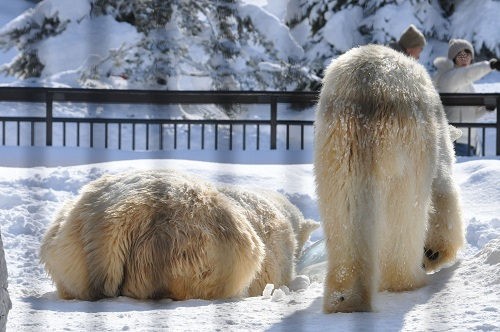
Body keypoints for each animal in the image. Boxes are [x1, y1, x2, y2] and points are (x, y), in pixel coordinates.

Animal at [316, 44, 464, 314]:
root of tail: (367, 88)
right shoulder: (438, 150)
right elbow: (443, 194)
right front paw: (434, 252)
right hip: (406, 146)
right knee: (404, 213)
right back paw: (409, 280)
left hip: (336, 144)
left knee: (343, 209)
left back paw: (344, 299)